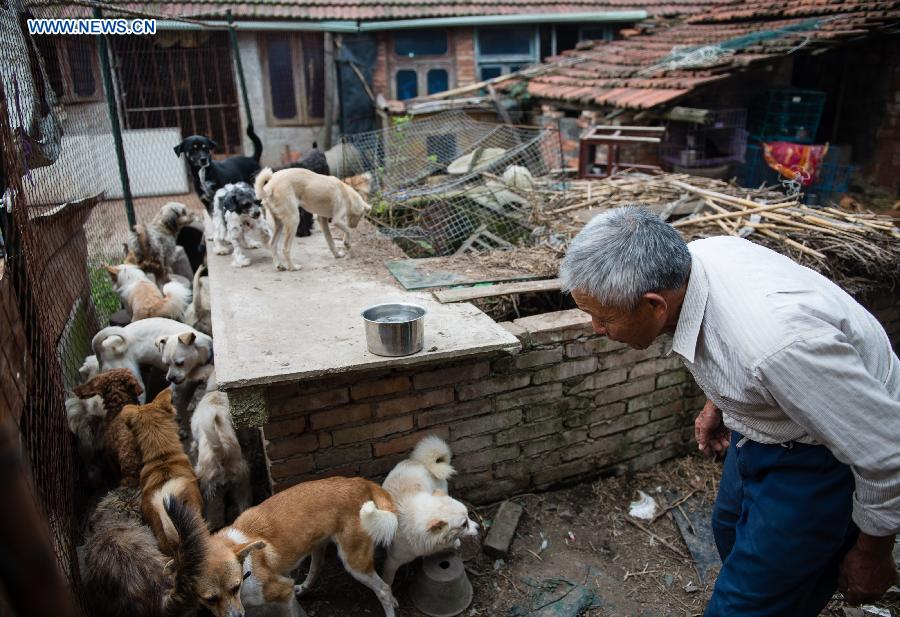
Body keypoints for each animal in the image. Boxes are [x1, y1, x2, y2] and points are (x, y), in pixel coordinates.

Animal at [199, 476, 400, 616]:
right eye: (210, 599)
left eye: (235, 587)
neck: (246, 569)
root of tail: (361, 482)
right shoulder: (285, 587)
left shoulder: (282, 594)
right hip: (318, 546)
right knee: (315, 570)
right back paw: (303, 588)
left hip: (355, 562)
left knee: (383, 589)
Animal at [380, 434, 478, 584]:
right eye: (463, 524)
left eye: (468, 516)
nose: (479, 527)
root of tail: (420, 461)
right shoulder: (392, 560)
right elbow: (387, 580)